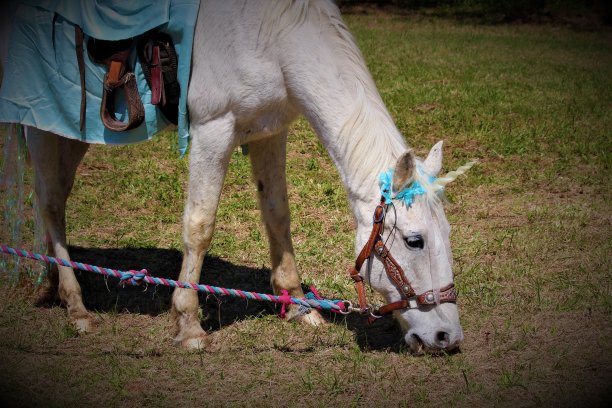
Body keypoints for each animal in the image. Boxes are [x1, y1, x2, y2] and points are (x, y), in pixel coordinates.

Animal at [1, 0, 468, 352]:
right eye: (414, 241)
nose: (446, 336)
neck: (274, 37)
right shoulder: (214, 130)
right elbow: (200, 225)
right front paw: (188, 324)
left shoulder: (270, 131)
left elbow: (277, 215)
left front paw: (298, 306)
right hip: (45, 127)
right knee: (50, 204)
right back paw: (76, 306)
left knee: (51, 202)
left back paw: (54, 284)